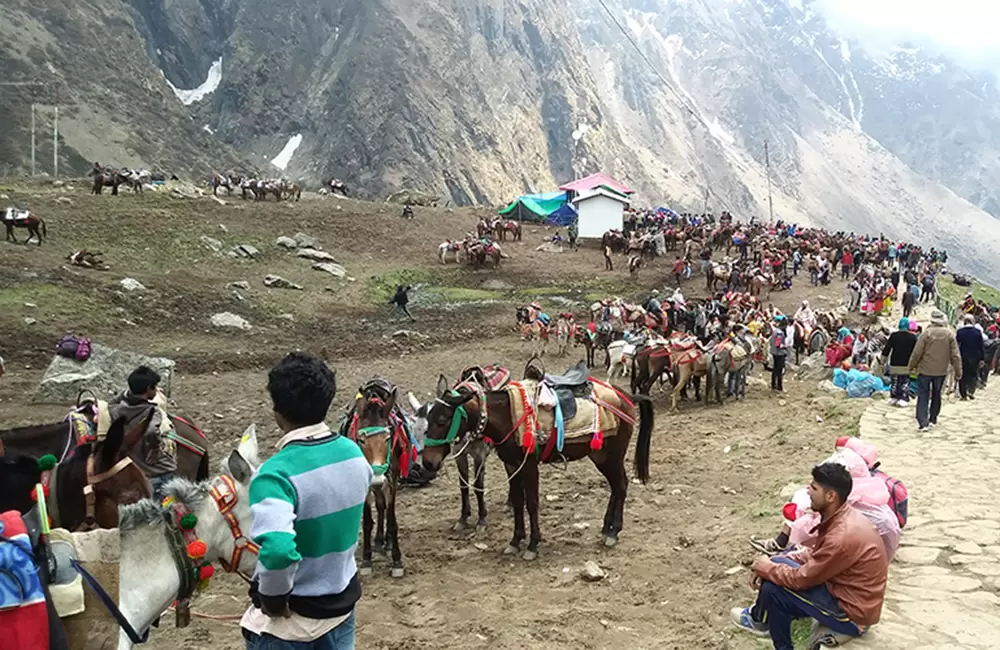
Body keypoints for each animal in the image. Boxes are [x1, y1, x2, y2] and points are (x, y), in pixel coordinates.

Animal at [338, 378, 412, 576]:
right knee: (379, 505)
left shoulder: (392, 477)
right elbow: (367, 521)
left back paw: (386, 542)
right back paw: (378, 541)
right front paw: (366, 559)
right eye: (361, 440)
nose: (377, 478)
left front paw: (396, 560)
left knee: (383, 505)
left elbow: (391, 517)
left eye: (387, 438)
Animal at [422, 364, 656, 556]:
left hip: (613, 455)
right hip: (600, 456)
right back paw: (607, 528)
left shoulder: (529, 465)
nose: (427, 463)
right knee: (616, 487)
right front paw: (515, 541)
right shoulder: (511, 464)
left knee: (621, 486)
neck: (507, 415)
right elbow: (518, 502)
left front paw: (533, 545)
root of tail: (625, 396)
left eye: (442, 419)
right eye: (428, 417)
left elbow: (532, 503)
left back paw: (613, 532)